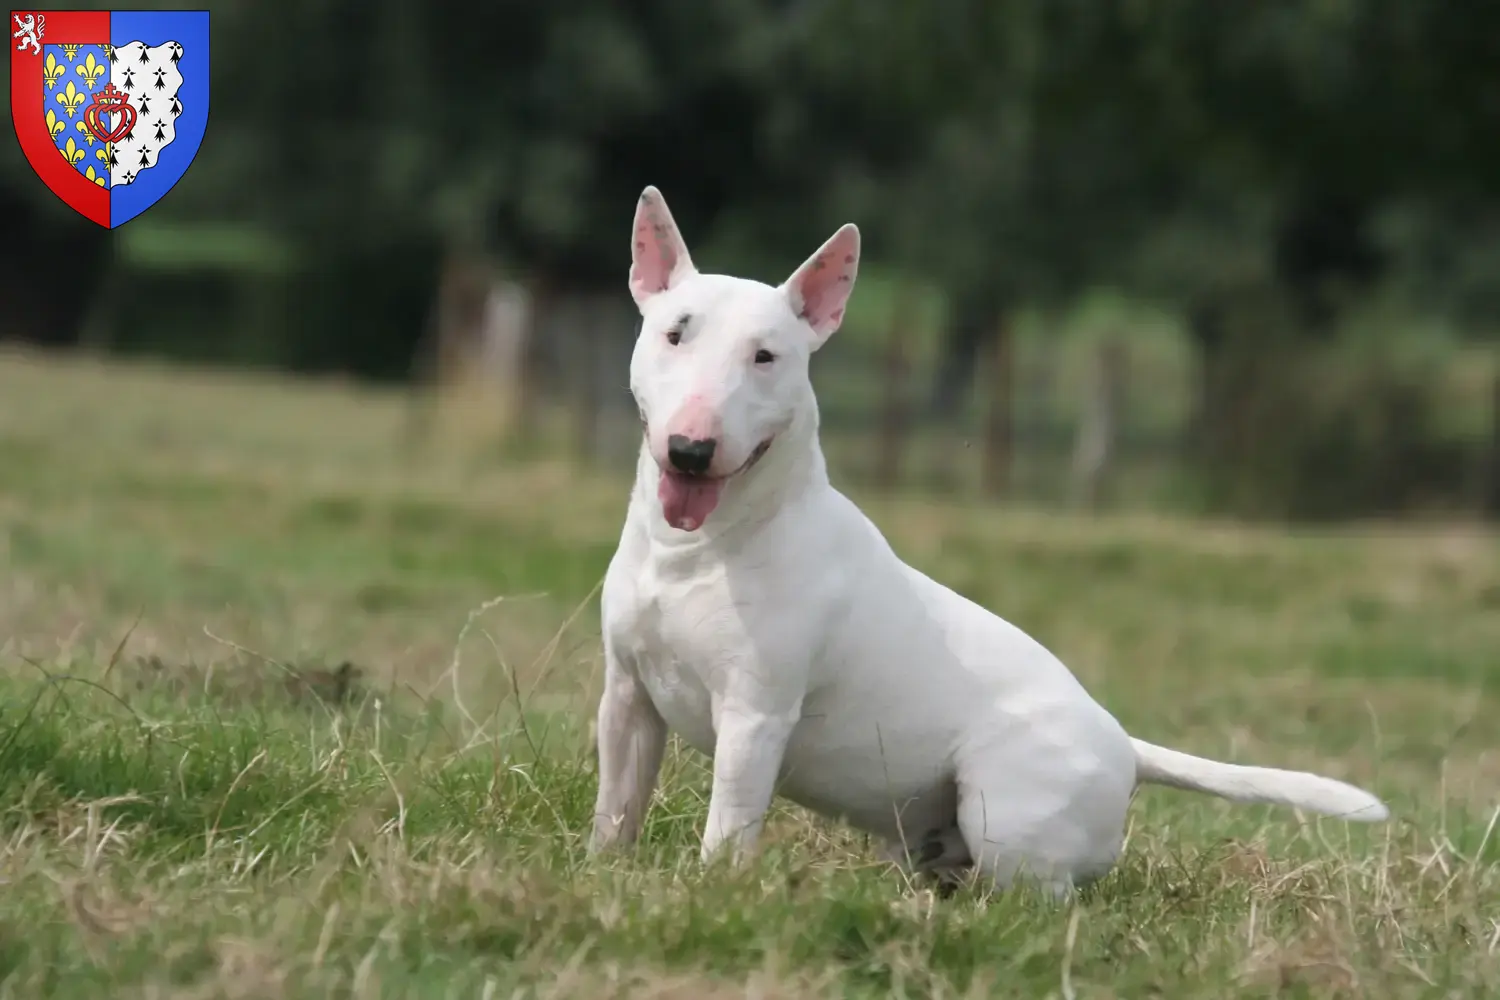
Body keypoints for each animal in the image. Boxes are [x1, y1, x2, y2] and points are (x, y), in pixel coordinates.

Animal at [591, 187, 1386, 899]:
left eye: (766, 357)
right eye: (674, 333)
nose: (692, 450)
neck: (699, 550)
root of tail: (1126, 747)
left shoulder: (755, 717)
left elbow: (729, 825)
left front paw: (711, 891)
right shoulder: (627, 695)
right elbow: (617, 805)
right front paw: (603, 872)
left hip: (1005, 812)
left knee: (1042, 895)